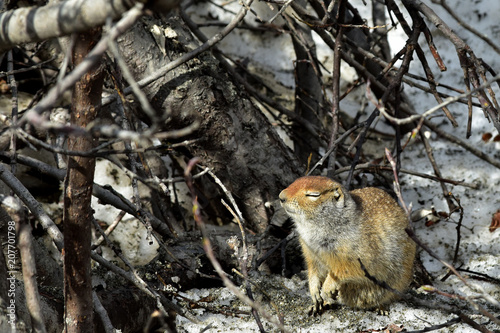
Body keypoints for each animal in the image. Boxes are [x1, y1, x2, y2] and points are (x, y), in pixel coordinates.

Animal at [280, 175, 416, 312]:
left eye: (313, 195)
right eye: (295, 181)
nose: (281, 196)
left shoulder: (356, 257)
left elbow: (343, 270)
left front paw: (327, 288)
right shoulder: (311, 252)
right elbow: (313, 270)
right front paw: (315, 293)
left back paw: (381, 308)